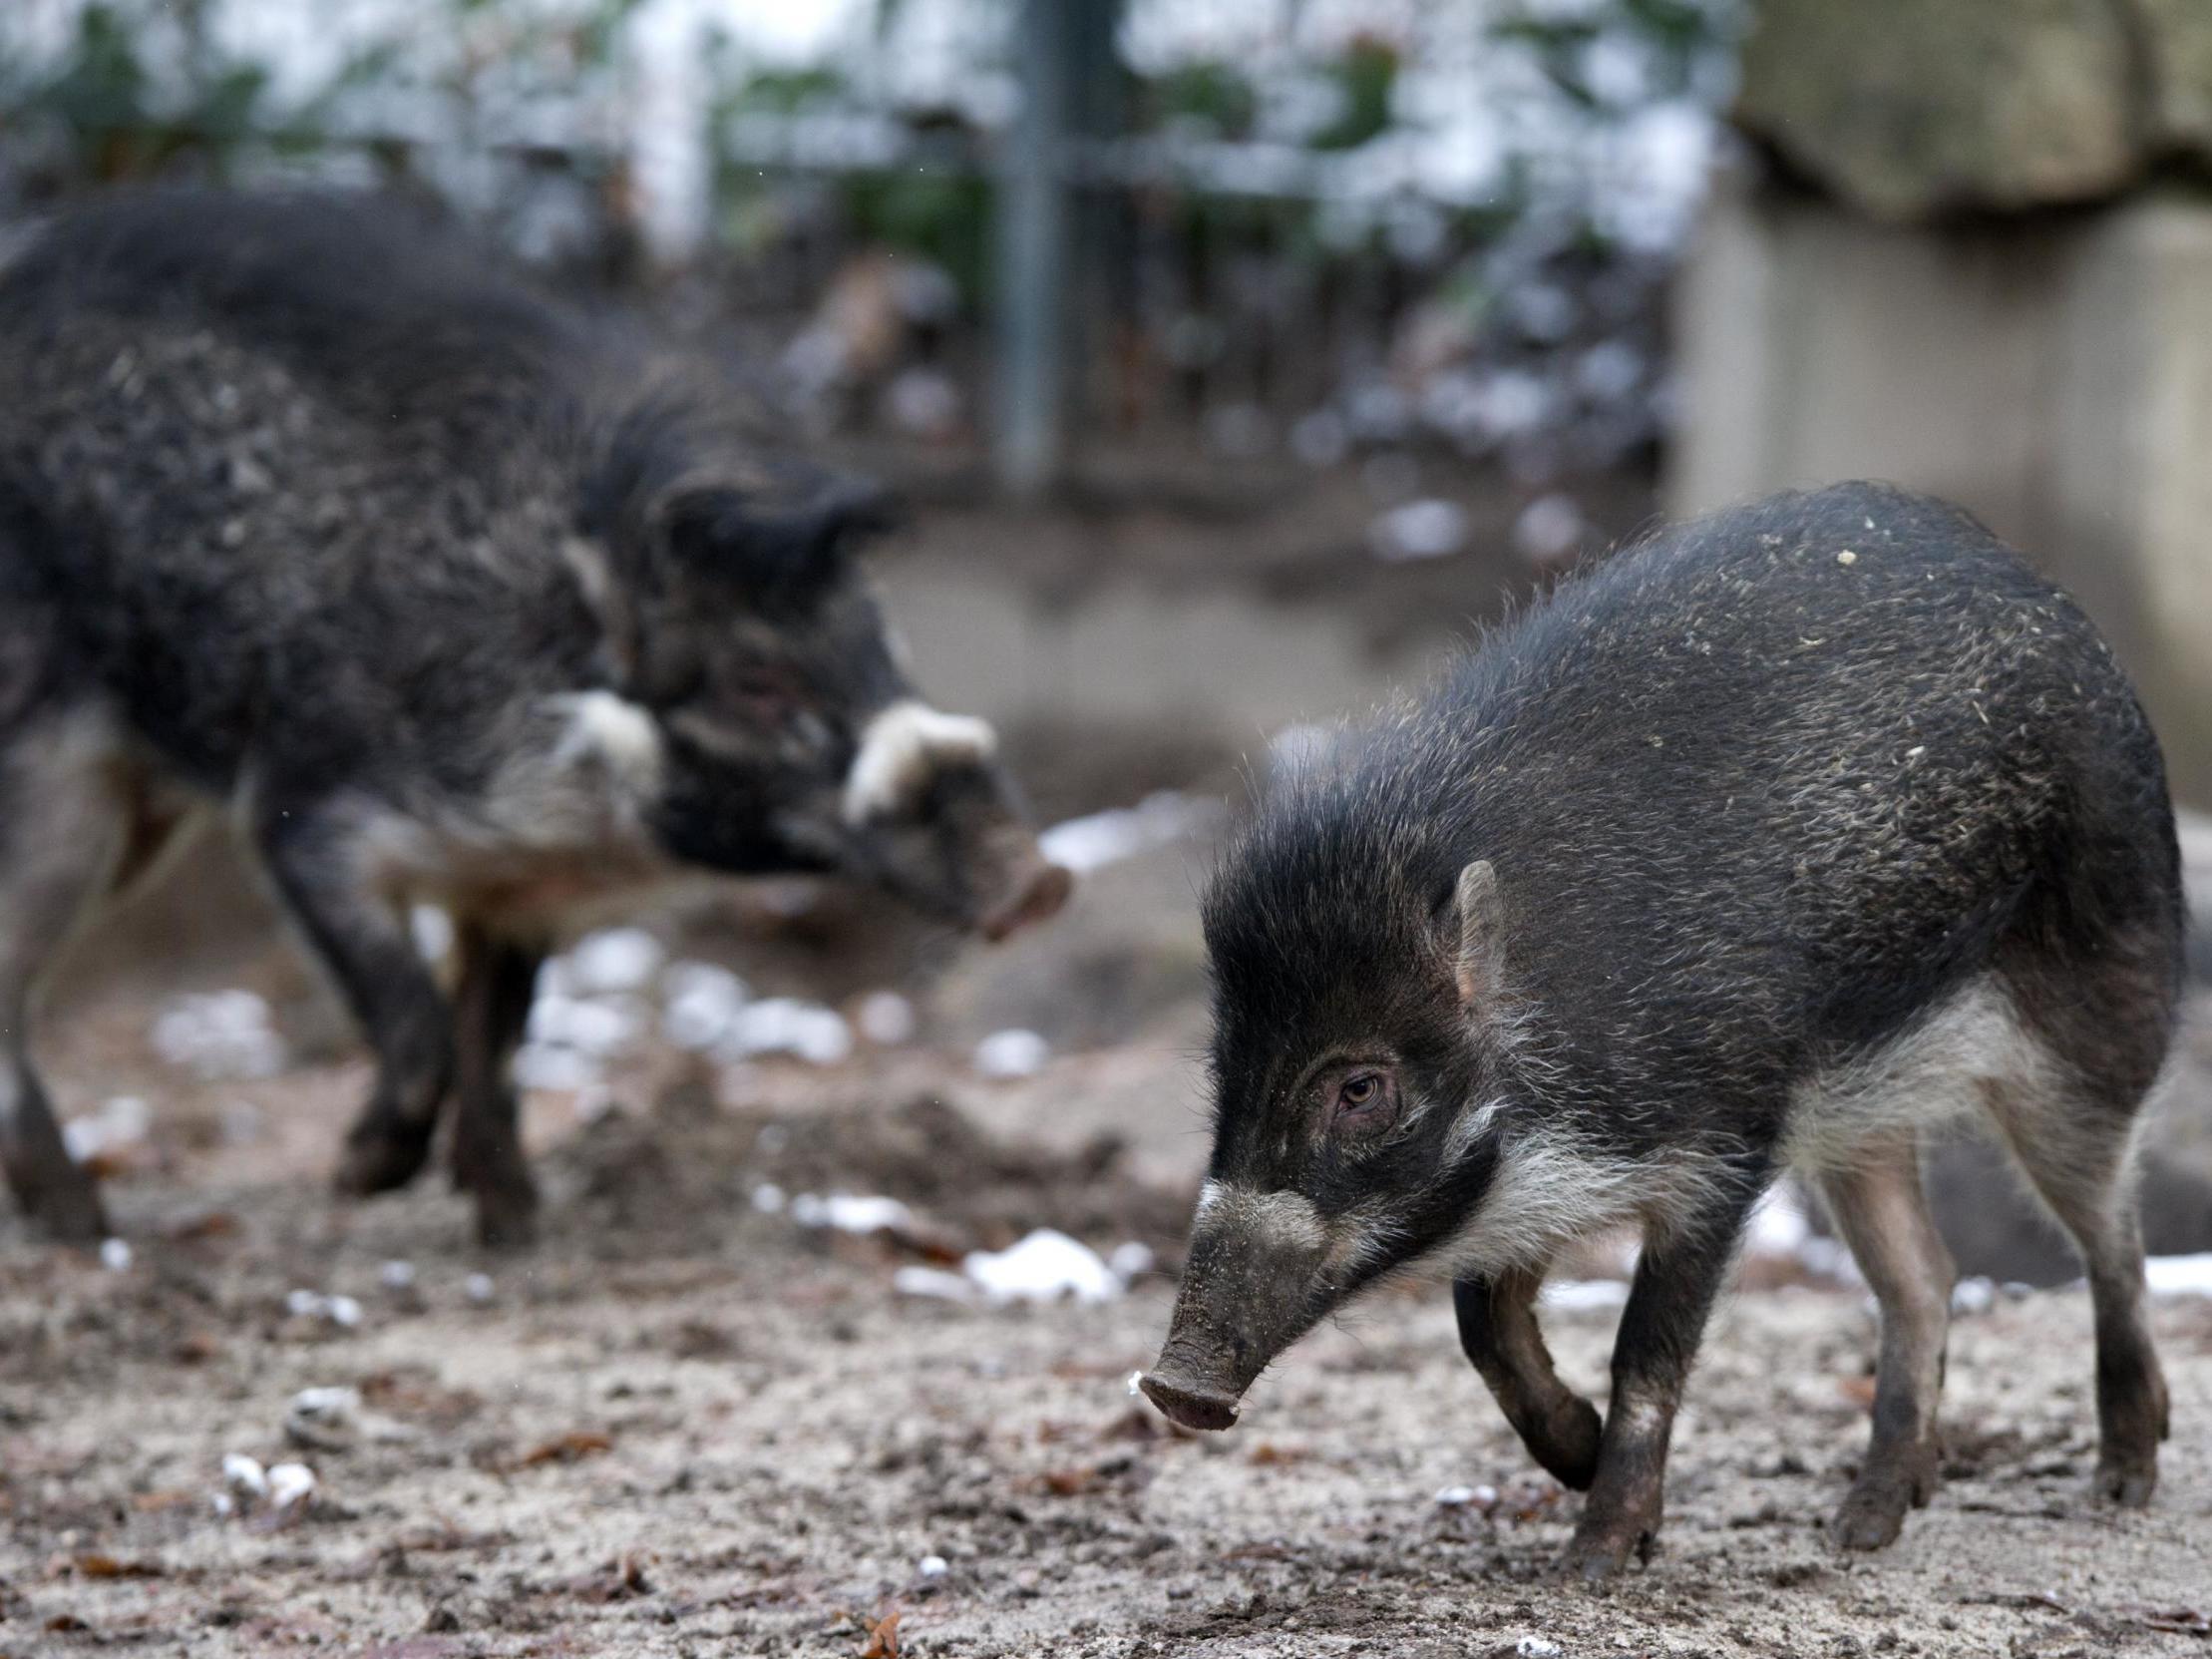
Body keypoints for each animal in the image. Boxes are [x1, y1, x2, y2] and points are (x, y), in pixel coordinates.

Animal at [0, 191, 1070, 1247]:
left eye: (885, 646)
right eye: (758, 682)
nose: (1043, 875)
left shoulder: (514, 894)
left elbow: (499, 1041)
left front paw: (514, 1229)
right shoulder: (303, 812)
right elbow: (419, 1020)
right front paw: (358, 1180)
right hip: (53, 776)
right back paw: (86, 1231)